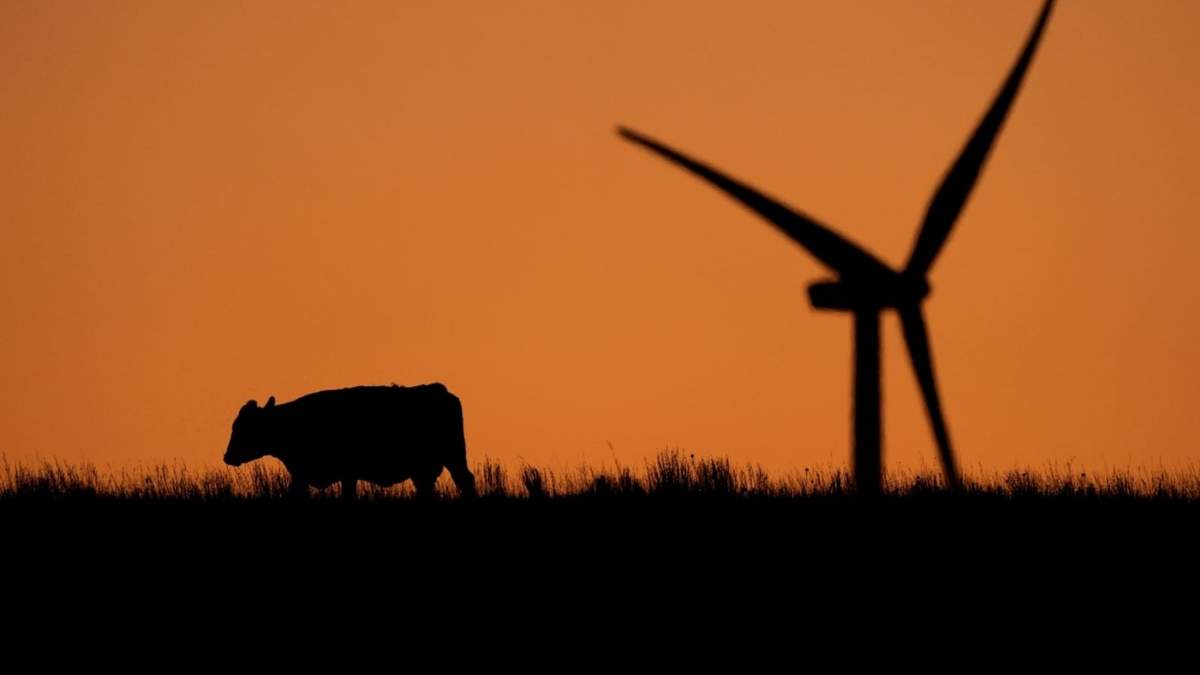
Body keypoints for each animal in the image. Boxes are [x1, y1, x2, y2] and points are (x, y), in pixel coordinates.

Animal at [223, 383, 477, 500]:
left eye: (244, 427)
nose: (227, 457)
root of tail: (439, 390)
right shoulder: (304, 474)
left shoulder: (344, 474)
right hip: (428, 467)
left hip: (454, 457)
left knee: (464, 480)